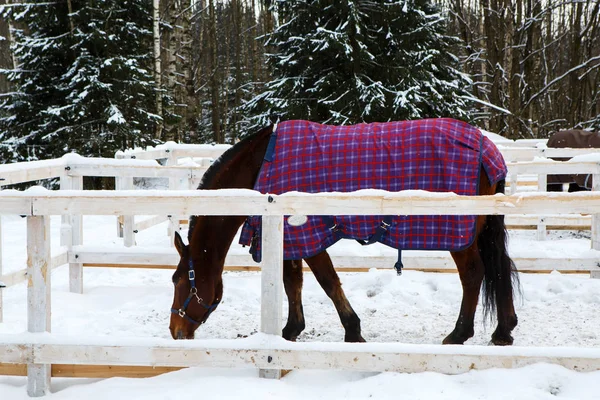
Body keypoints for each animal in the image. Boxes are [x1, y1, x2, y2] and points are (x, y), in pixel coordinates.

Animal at [169, 118, 520, 344]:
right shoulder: (290, 238)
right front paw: (292, 329)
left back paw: (460, 333)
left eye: (178, 281)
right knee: (498, 269)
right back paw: (503, 331)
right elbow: (292, 282)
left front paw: (352, 330)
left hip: (460, 233)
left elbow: (326, 281)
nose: (175, 331)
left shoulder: (308, 233)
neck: (261, 166)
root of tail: (488, 148)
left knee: (474, 274)